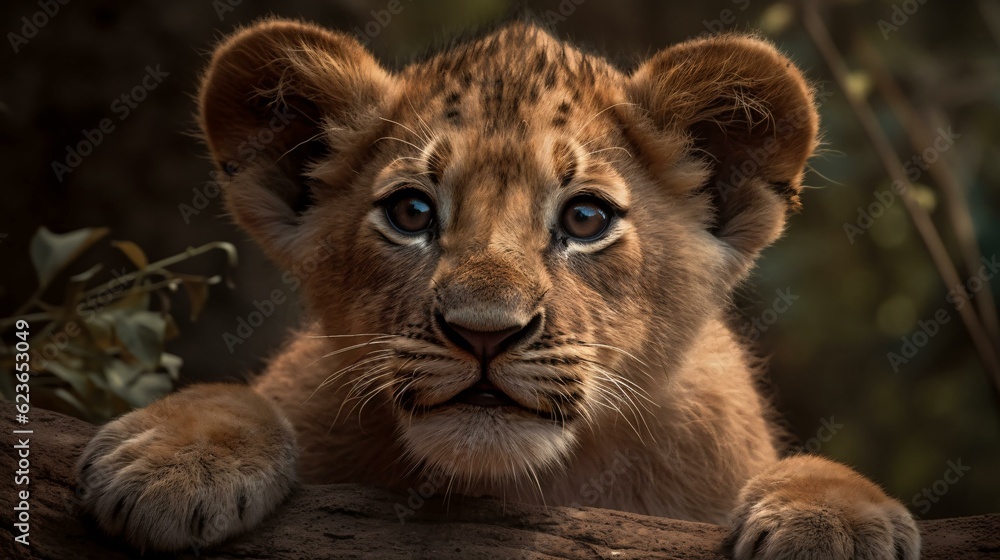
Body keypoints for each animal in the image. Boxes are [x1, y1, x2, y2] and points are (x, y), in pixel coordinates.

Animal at [74, 18, 920, 559]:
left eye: (585, 218)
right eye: (412, 212)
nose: (485, 331)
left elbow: (809, 468)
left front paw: (832, 519)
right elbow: (246, 396)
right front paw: (173, 458)